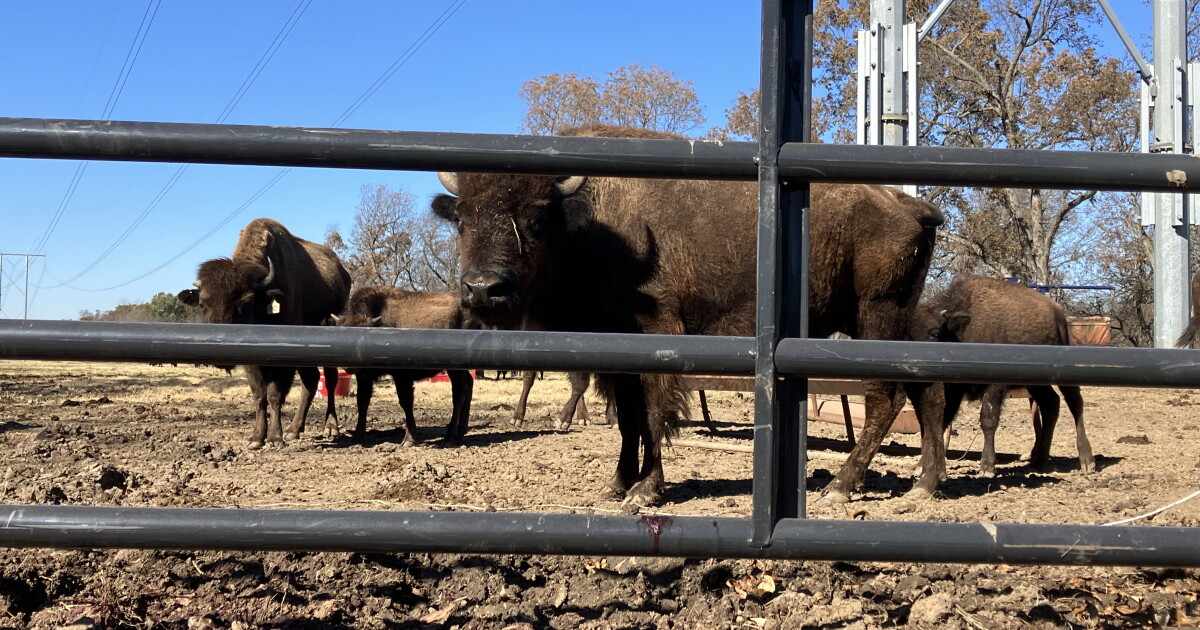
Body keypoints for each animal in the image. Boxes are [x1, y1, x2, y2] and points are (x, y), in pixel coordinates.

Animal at [177, 218, 351, 449]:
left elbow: (275, 394)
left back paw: (330, 427)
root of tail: (343, 272)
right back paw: (294, 430)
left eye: (245, 303)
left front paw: (275, 438)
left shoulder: (284, 361)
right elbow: (259, 395)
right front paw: (256, 438)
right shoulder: (252, 363)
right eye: (203, 304)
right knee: (311, 380)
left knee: (329, 381)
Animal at [332, 286, 473, 446]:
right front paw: (358, 436)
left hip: (455, 369)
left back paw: (449, 437)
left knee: (459, 393)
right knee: (469, 384)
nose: (349, 364)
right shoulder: (364, 376)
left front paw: (409, 439)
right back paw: (460, 433)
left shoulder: (402, 376)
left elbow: (406, 402)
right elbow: (362, 401)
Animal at [432, 124, 945, 505]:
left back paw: (841, 486)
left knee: (885, 396)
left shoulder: (657, 331)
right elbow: (629, 417)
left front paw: (645, 490)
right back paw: (924, 484)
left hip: (876, 313)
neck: (590, 219)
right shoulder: (615, 350)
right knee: (926, 390)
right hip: (891, 319)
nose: (484, 290)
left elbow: (655, 412)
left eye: (537, 218)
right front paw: (618, 483)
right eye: (462, 218)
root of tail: (909, 205)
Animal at [913, 275, 1095, 476]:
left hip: (1062, 372)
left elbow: (988, 419)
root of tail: (1057, 311)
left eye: (934, 333)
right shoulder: (953, 388)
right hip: (1035, 382)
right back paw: (1039, 461)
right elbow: (943, 419)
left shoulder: (994, 386)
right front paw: (922, 465)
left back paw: (1087, 460)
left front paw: (987, 466)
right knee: (1051, 404)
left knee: (1074, 402)